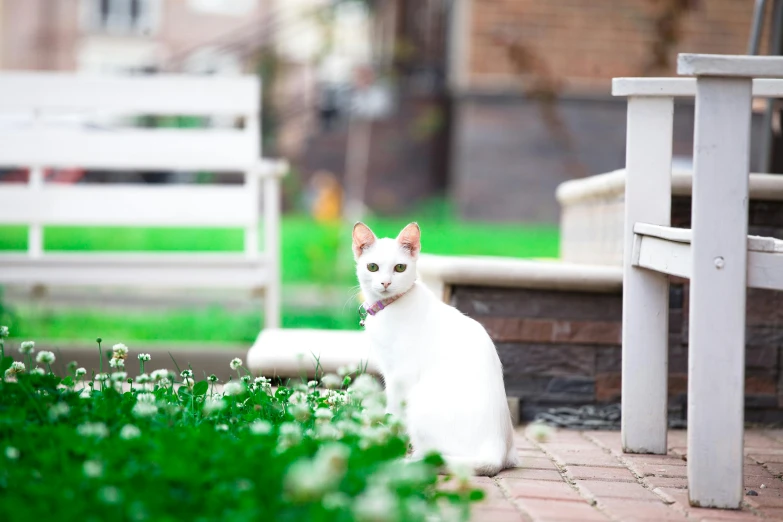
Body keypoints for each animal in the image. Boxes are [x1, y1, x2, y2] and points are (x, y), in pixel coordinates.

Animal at [352, 221, 516, 474]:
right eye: (372, 267)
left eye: (400, 267)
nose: (386, 282)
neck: (390, 306)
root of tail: (496, 452)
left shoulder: (400, 375)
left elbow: (393, 412)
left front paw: (387, 441)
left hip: (418, 398)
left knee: (436, 454)